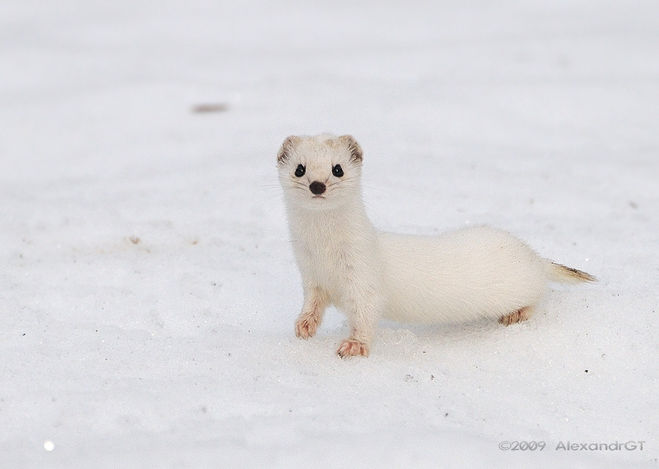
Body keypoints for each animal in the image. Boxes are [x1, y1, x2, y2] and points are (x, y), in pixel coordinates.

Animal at [276, 133, 596, 356]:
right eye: (300, 169)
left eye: (338, 169)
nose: (318, 185)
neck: (324, 253)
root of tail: (532, 254)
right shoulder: (311, 276)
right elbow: (313, 303)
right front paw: (304, 325)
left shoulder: (364, 276)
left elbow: (366, 313)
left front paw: (354, 346)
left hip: (521, 284)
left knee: (538, 295)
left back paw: (516, 313)